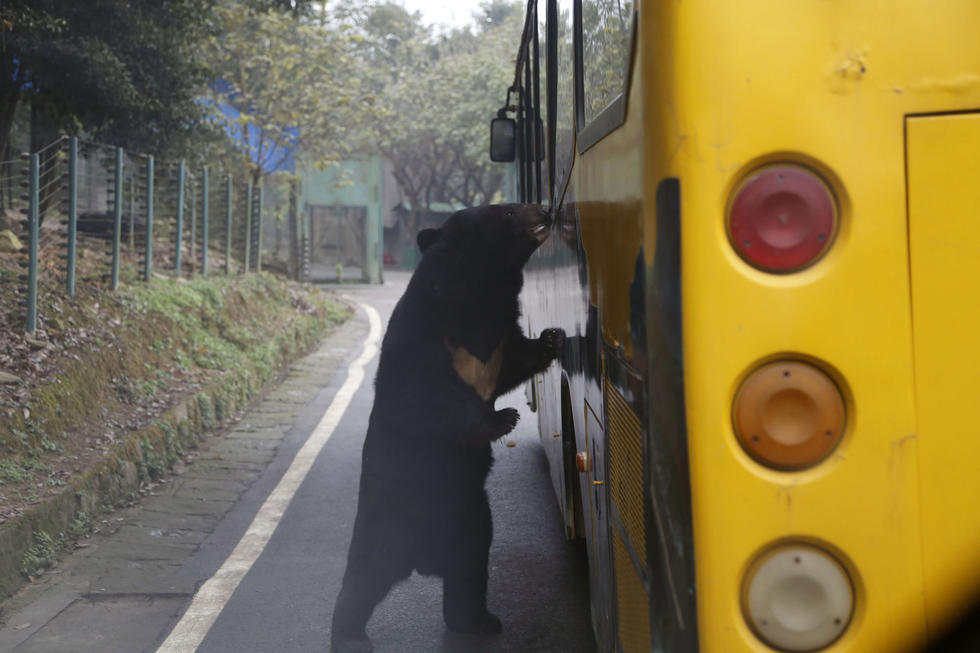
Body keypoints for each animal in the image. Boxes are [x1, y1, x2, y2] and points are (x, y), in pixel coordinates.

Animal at [330, 204, 564, 652]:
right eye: (509, 210)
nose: (545, 208)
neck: (477, 292)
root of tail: (421, 559)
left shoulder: (497, 338)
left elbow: (516, 360)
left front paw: (551, 338)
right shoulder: (426, 334)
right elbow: (426, 393)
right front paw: (504, 418)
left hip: (472, 522)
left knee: (469, 572)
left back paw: (478, 620)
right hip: (387, 522)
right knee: (363, 577)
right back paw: (349, 635)